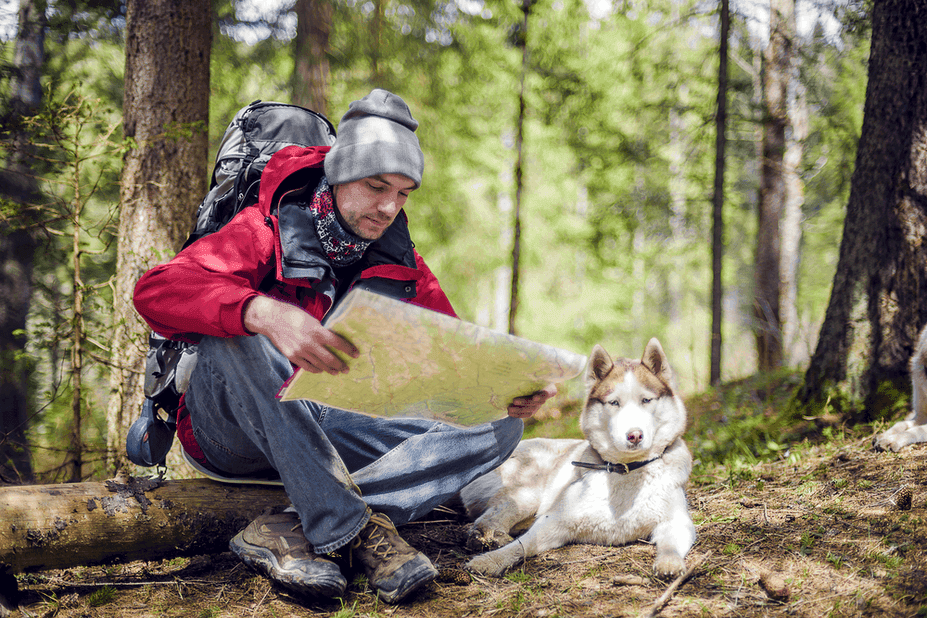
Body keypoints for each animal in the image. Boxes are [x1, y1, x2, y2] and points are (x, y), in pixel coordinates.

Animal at [460, 340, 692, 576]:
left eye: (646, 400)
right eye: (614, 403)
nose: (634, 435)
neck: (625, 470)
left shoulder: (677, 522)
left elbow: (671, 545)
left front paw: (669, 563)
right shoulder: (555, 521)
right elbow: (522, 545)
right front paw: (491, 560)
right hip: (526, 492)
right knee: (487, 518)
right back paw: (490, 538)